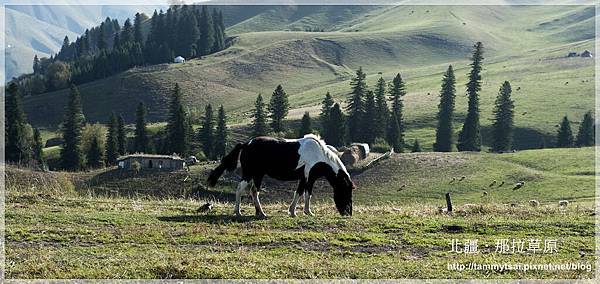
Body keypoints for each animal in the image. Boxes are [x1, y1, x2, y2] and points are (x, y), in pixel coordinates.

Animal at [207, 134, 354, 216]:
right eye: (346, 191)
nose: (348, 212)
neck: (319, 156)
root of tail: (246, 144)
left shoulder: (303, 178)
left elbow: (299, 192)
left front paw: (293, 211)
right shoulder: (309, 177)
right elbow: (307, 193)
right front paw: (307, 212)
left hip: (257, 175)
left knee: (253, 191)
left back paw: (260, 212)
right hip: (250, 174)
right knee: (241, 190)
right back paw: (239, 212)